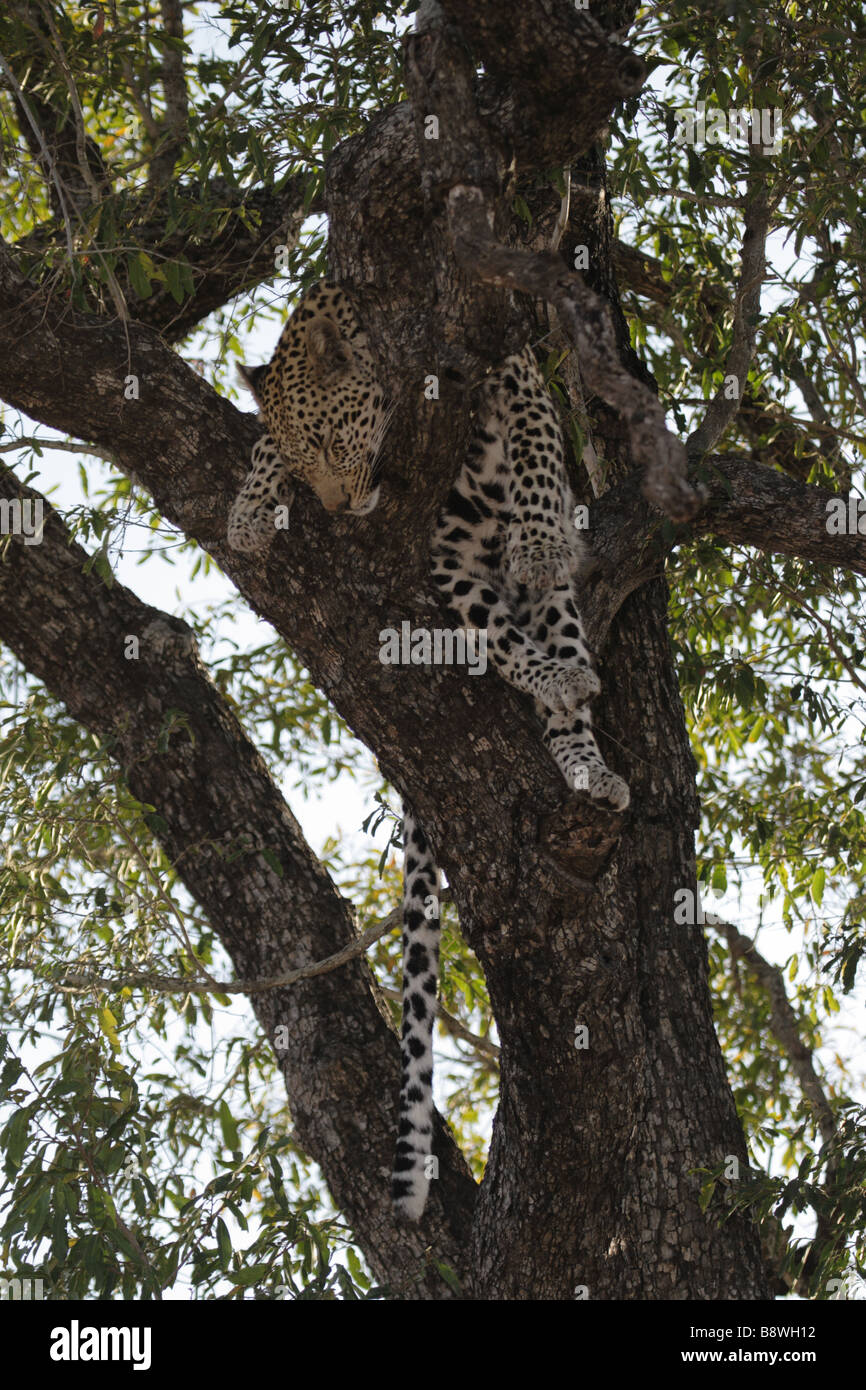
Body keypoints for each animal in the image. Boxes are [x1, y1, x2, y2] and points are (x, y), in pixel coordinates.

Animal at [227, 281, 629, 1223]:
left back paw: (584, 750)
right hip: (450, 571)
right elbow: (258, 437)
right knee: (498, 639)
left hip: (528, 589)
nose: (340, 509)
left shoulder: (507, 353)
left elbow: (533, 435)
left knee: (554, 634)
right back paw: (551, 682)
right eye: (307, 460)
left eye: (332, 442)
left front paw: (544, 530)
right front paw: (250, 507)